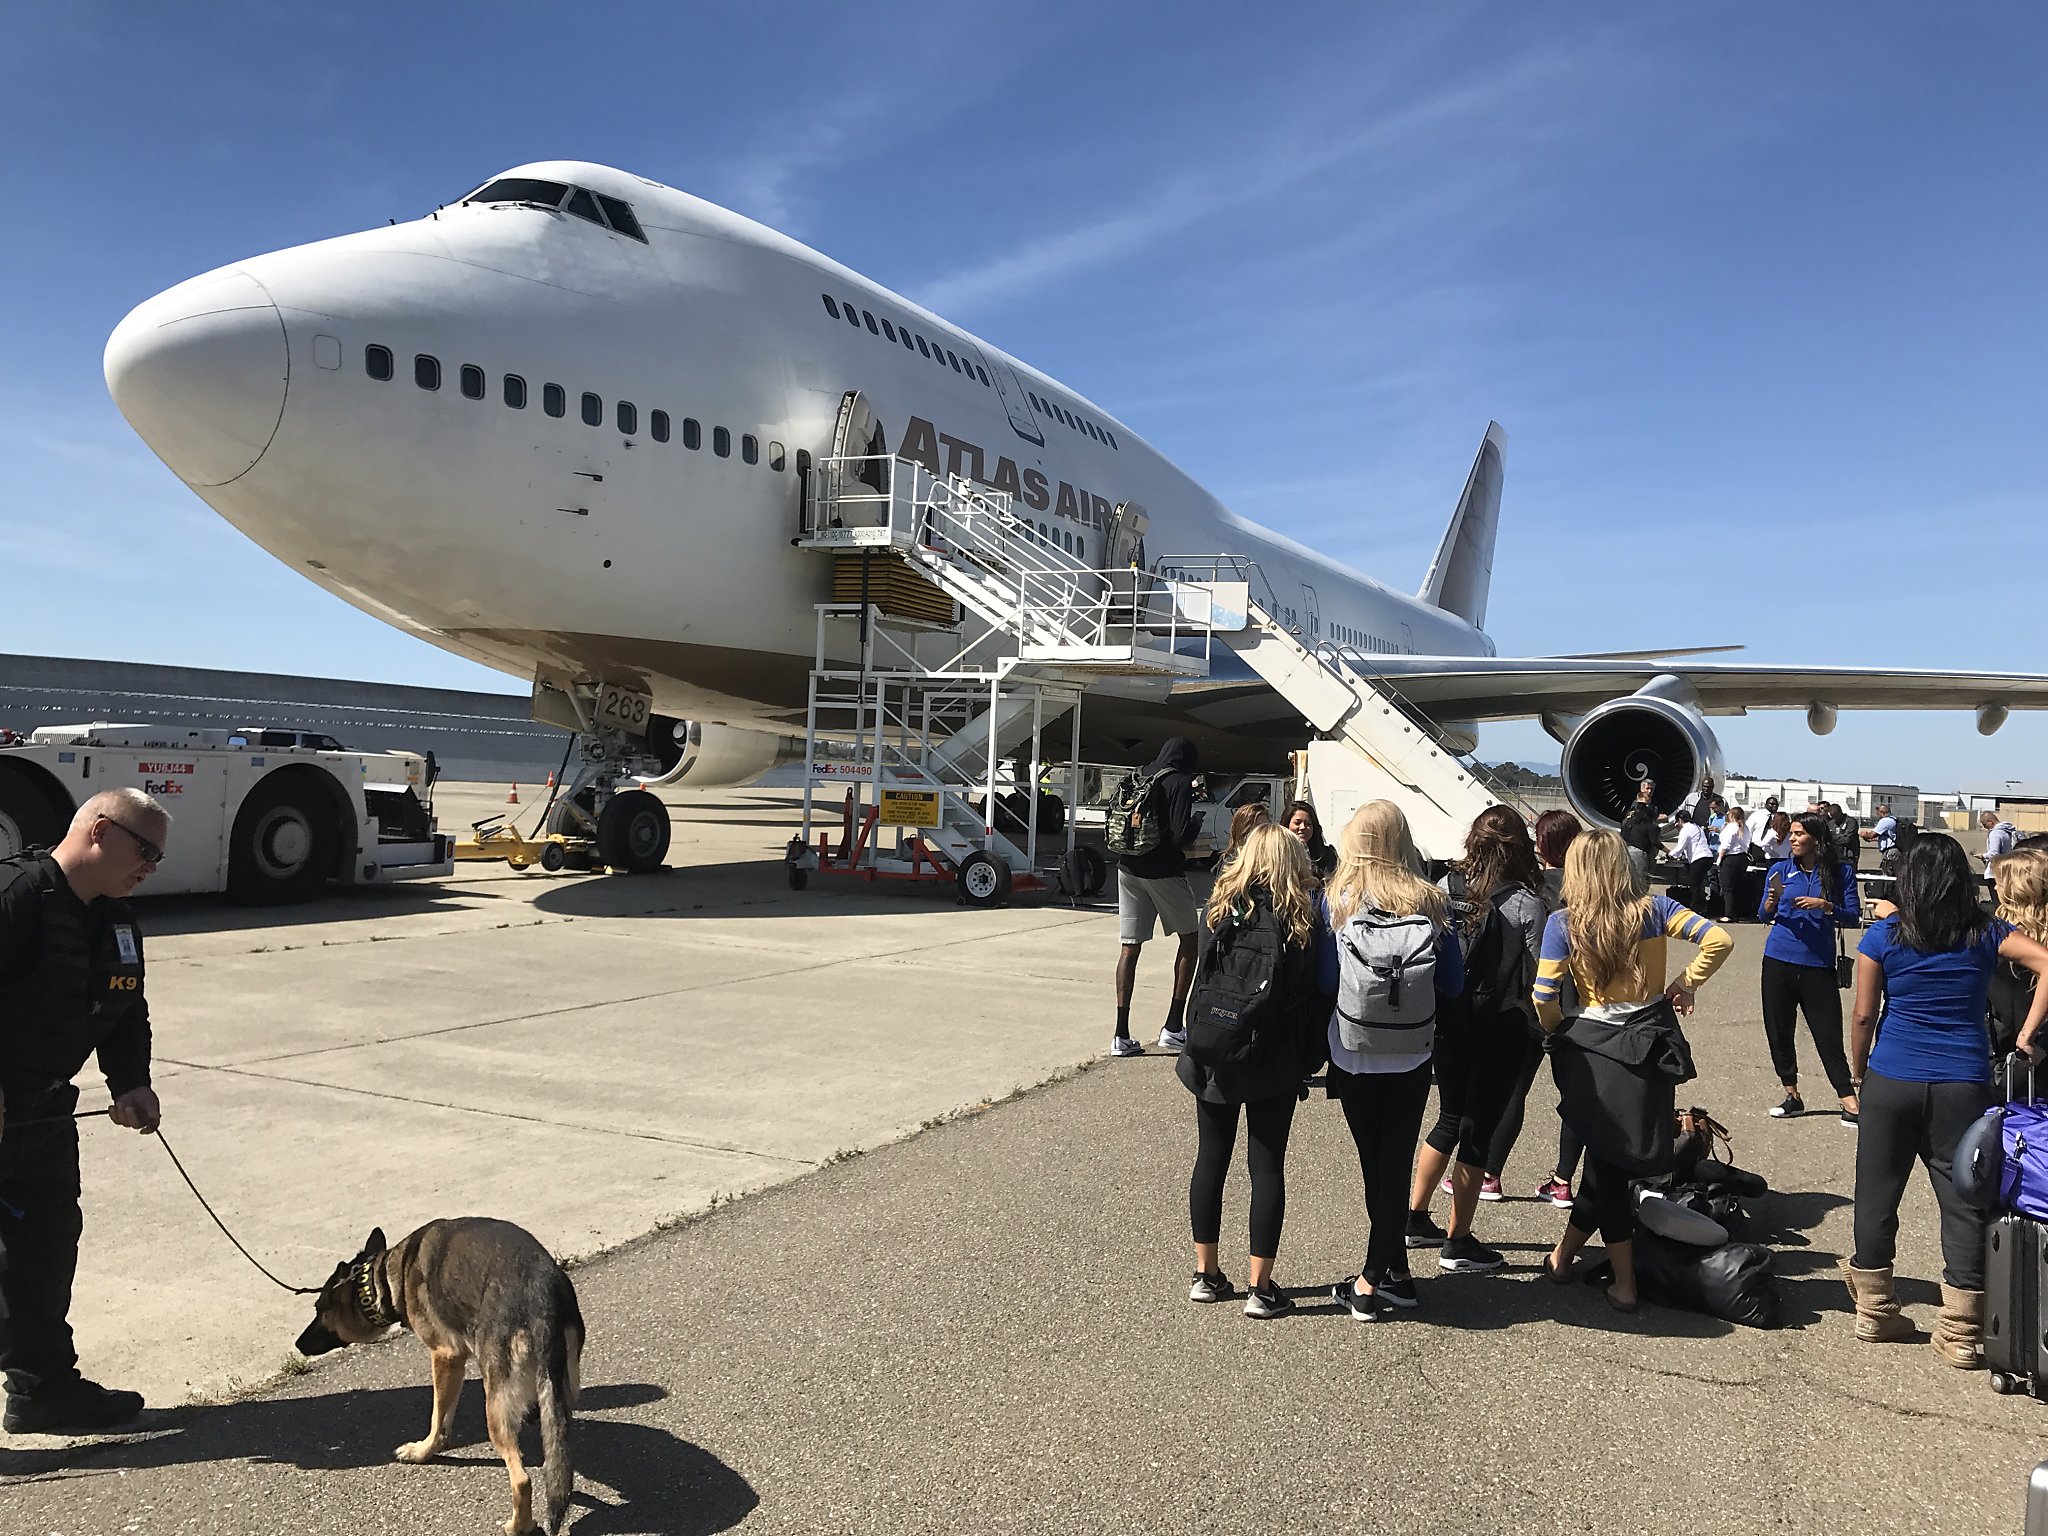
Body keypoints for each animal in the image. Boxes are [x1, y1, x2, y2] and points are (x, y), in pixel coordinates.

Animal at [294, 1220, 585, 1531]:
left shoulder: (445, 1357)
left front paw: (423, 1451)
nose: (298, 1344)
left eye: (319, 1310)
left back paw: (519, 1525)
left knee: (521, 1479)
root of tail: (543, 1301)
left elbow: (438, 1419)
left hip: (495, 1409)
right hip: (562, 1391)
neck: (386, 1275)